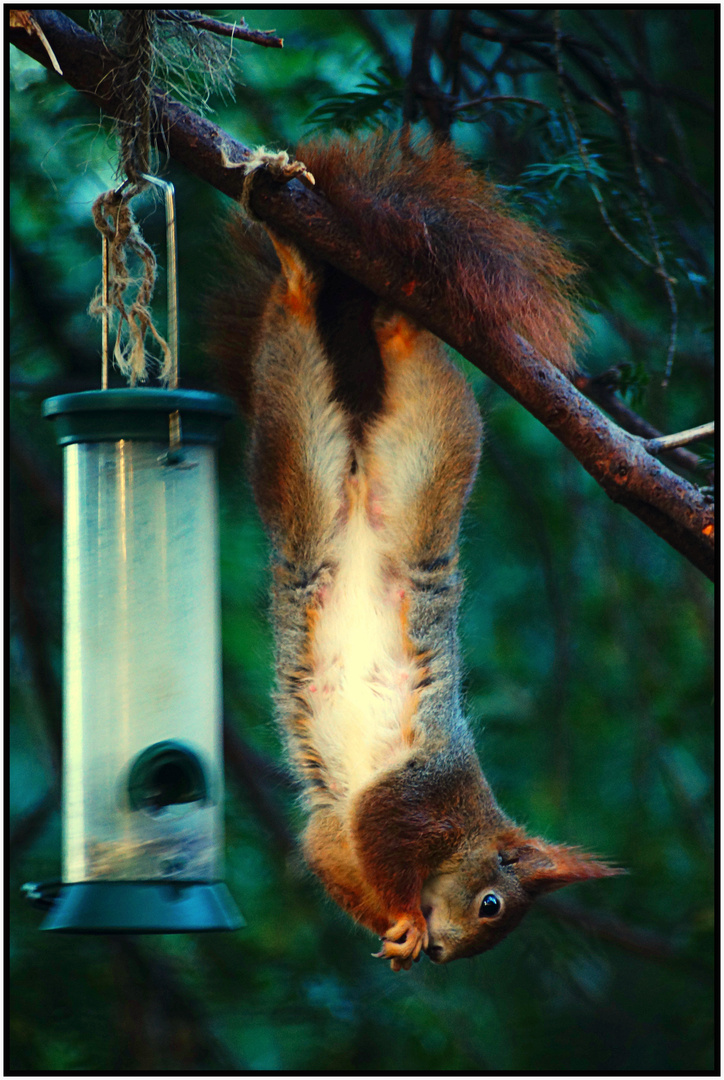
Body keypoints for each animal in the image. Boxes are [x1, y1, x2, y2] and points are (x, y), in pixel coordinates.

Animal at [211, 132, 622, 972]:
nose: (444, 956)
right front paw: (407, 915)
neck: (469, 825)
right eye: (492, 905)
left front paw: (398, 935)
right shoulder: (414, 796)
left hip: (351, 472)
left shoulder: (333, 828)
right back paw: (315, 271)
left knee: (345, 359)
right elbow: (381, 833)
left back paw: (349, 293)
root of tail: (361, 498)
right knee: (374, 352)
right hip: (417, 443)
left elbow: (331, 852)